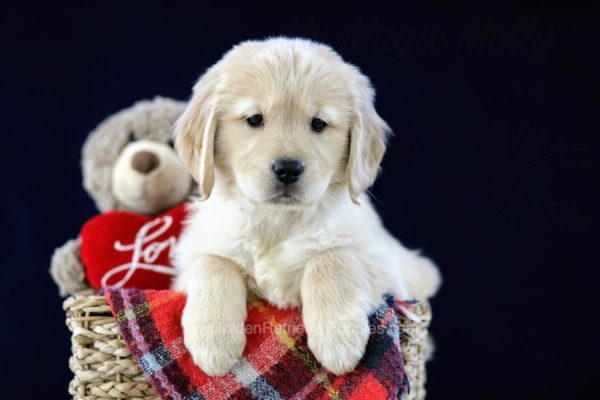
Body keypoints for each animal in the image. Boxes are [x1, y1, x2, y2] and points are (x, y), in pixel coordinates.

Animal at [171, 36, 438, 376]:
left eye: (319, 123)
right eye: (255, 119)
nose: (288, 169)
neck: (277, 221)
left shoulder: (388, 265)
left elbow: (331, 255)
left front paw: (338, 338)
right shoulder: (193, 256)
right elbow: (213, 263)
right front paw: (213, 341)